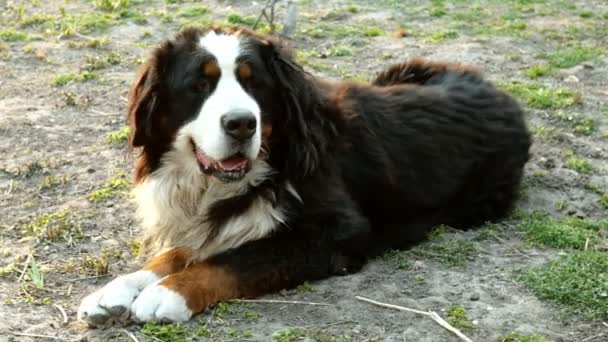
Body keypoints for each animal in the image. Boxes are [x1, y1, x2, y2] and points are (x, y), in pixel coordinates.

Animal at [77, 26, 532, 326]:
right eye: (199, 86)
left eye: (254, 84)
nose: (241, 124)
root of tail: (502, 94)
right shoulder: (211, 220)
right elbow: (173, 255)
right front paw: (115, 290)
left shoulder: (336, 231)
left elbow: (235, 260)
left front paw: (168, 293)